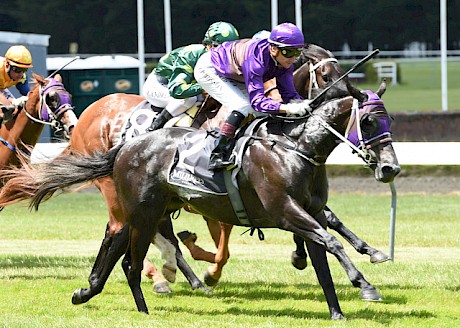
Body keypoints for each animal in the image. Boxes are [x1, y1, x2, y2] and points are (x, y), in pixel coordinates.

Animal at [6, 84, 402, 318]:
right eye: (368, 121)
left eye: (390, 119)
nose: (390, 168)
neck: (295, 149)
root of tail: (125, 145)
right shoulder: (286, 212)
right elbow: (331, 241)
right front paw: (365, 285)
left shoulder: (309, 211)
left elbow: (324, 253)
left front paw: (338, 308)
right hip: (142, 211)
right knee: (129, 255)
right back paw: (146, 301)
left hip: (149, 210)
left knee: (117, 240)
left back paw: (88, 291)